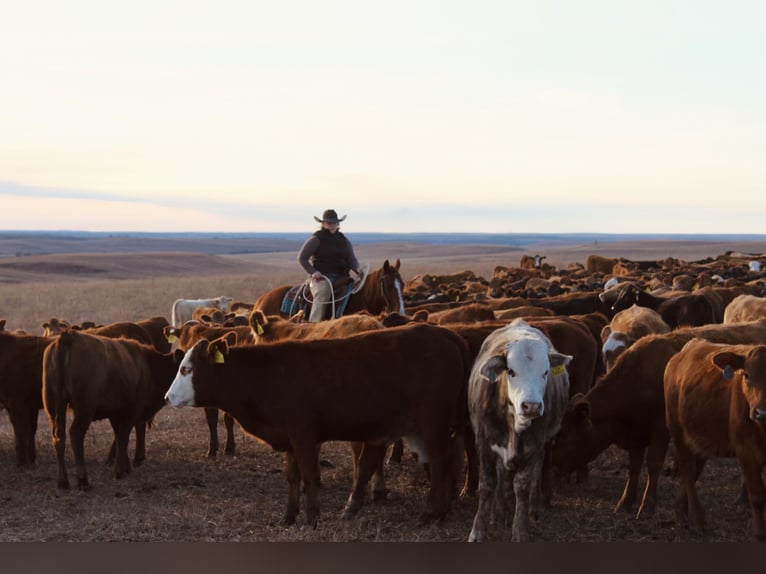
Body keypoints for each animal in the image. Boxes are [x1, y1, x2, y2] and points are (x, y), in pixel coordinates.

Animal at [42, 332, 180, 490]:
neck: (148, 367)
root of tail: (68, 337)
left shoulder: (115, 414)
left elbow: (118, 437)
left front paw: (125, 467)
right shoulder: (131, 412)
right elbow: (123, 438)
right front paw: (119, 471)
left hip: (54, 408)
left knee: (58, 437)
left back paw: (63, 481)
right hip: (85, 409)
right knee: (76, 435)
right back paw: (83, 479)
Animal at [464, 320, 572, 544]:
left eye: (546, 372)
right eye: (511, 371)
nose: (531, 406)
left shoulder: (533, 445)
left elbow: (521, 486)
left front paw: (520, 530)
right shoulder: (483, 441)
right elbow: (486, 484)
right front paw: (478, 530)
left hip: (543, 444)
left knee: (539, 464)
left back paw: (533, 508)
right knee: (499, 473)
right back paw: (498, 513)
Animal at [552, 322, 766, 520]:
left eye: (565, 436)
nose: (554, 467)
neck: (639, 377)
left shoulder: (661, 430)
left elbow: (653, 465)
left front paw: (647, 506)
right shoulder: (637, 431)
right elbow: (634, 467)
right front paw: (625, 502)